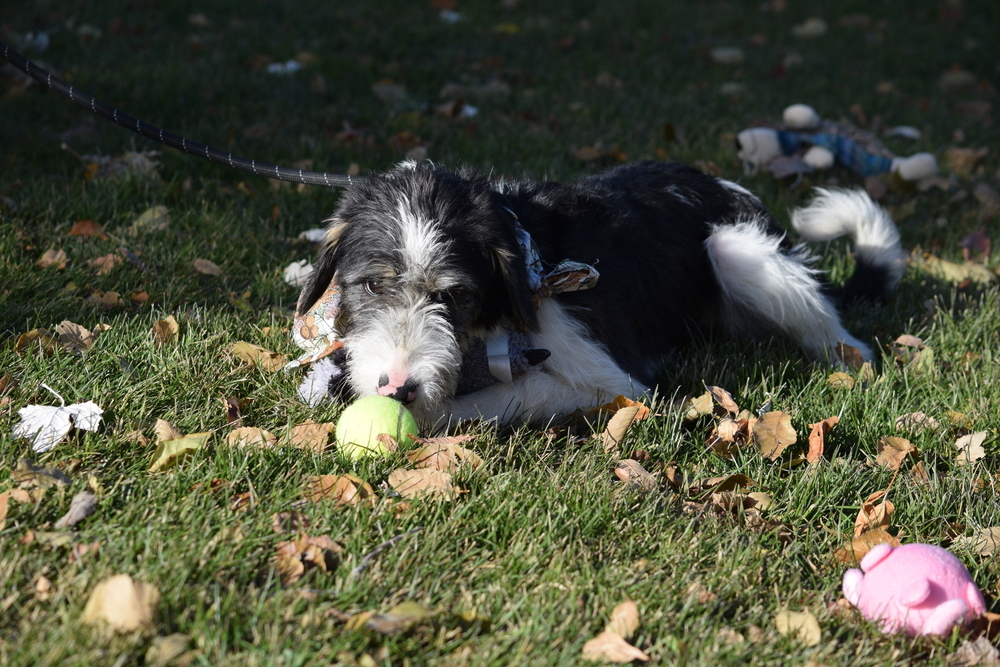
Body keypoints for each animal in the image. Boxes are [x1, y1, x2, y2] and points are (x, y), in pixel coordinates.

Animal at [296, 160, 908, 428]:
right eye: (373, 285)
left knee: (849, 339)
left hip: (737, 250)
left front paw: (424, 416)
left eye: (452, 297)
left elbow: (503, 396)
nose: (398, 387)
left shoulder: (613, 385)